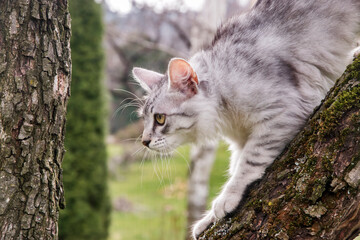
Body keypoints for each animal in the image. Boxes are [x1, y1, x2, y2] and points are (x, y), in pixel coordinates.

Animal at [131, 0, 360, 238]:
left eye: (160, 118)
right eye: (145, 119)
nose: (144, 141)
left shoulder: (285, 110)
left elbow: (248, 162)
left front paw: (226, 199)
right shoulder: (241, 139)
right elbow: (237, 165)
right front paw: (208, 220)